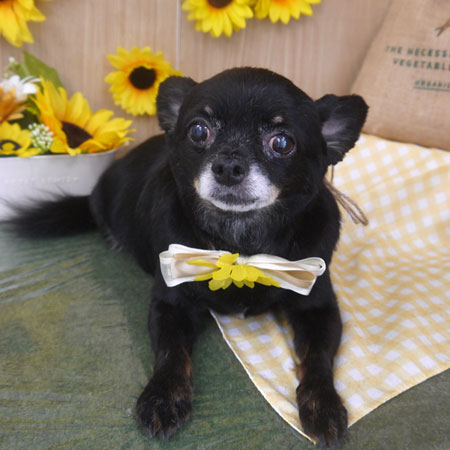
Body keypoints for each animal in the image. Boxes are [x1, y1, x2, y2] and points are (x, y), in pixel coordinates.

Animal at [9, 67, 368, 446]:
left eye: (282, 143)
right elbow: (171, 353)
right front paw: (163, 397)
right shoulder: (171, 305)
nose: (228, 165)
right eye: (199, 131)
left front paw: (324, 403)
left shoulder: (318, 307)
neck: (240, 244)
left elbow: (318, 358)